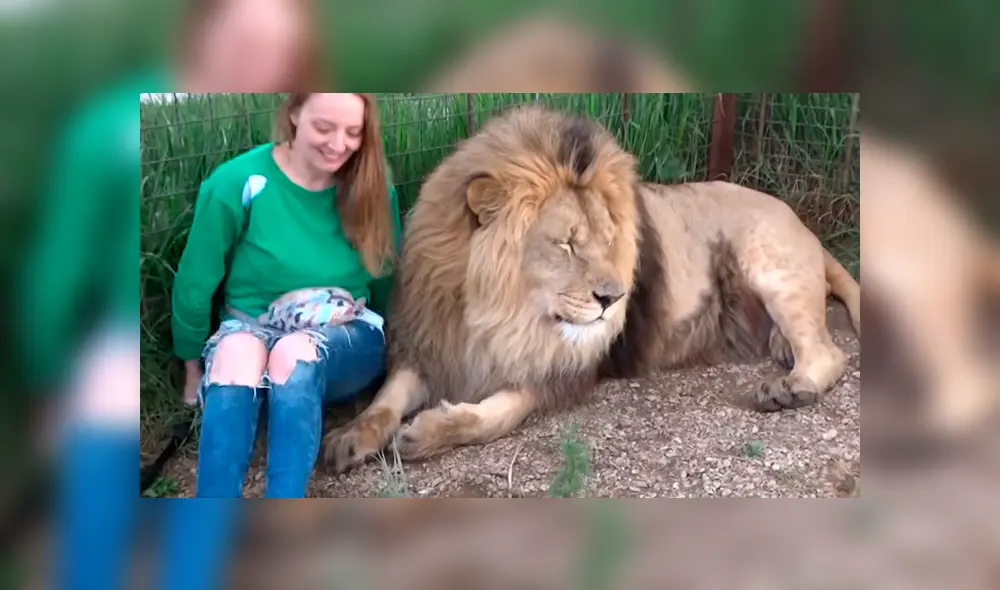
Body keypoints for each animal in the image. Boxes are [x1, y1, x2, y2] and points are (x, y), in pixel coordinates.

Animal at [321, 105, 861, 472]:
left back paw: (789, 389)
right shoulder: (433, 341)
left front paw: (427, 433)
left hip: (769, 264)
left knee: (829, 352)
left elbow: (493, 417)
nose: (613, 299)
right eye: (566, 244)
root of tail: (807, 229)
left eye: (607, 242)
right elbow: (386, 398)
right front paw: (348, 437)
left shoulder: (556, 374)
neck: (496, 314)